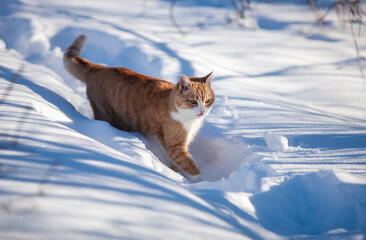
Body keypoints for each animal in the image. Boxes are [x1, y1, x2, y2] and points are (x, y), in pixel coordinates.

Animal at [63, 34, 214, 182]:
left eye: (207, 101)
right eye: (193, 102)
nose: (202, 111)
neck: (190, 121)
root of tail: (100, 68)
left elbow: (177, 164)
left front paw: (176, 173)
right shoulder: (175, 146)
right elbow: (191, 167)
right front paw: (203, 184)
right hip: (105, 113)